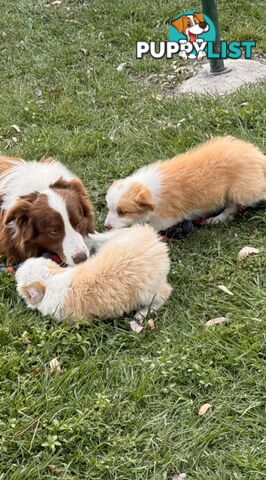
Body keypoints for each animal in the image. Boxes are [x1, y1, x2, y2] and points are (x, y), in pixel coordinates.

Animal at [15, 225, 171, 322]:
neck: (49, 281)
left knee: (164, 295)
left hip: (148, 292)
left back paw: (142, 314)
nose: (18, 266)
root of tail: (152, 237)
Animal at [104, 136, 266, 232]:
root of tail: (257, 156)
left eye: (123, 212)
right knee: (231, 207)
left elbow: (148, 226)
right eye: (109, 208)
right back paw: (218, 219)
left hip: (245, 191)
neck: (149, 188)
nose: (106, 226)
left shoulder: (165, 219)